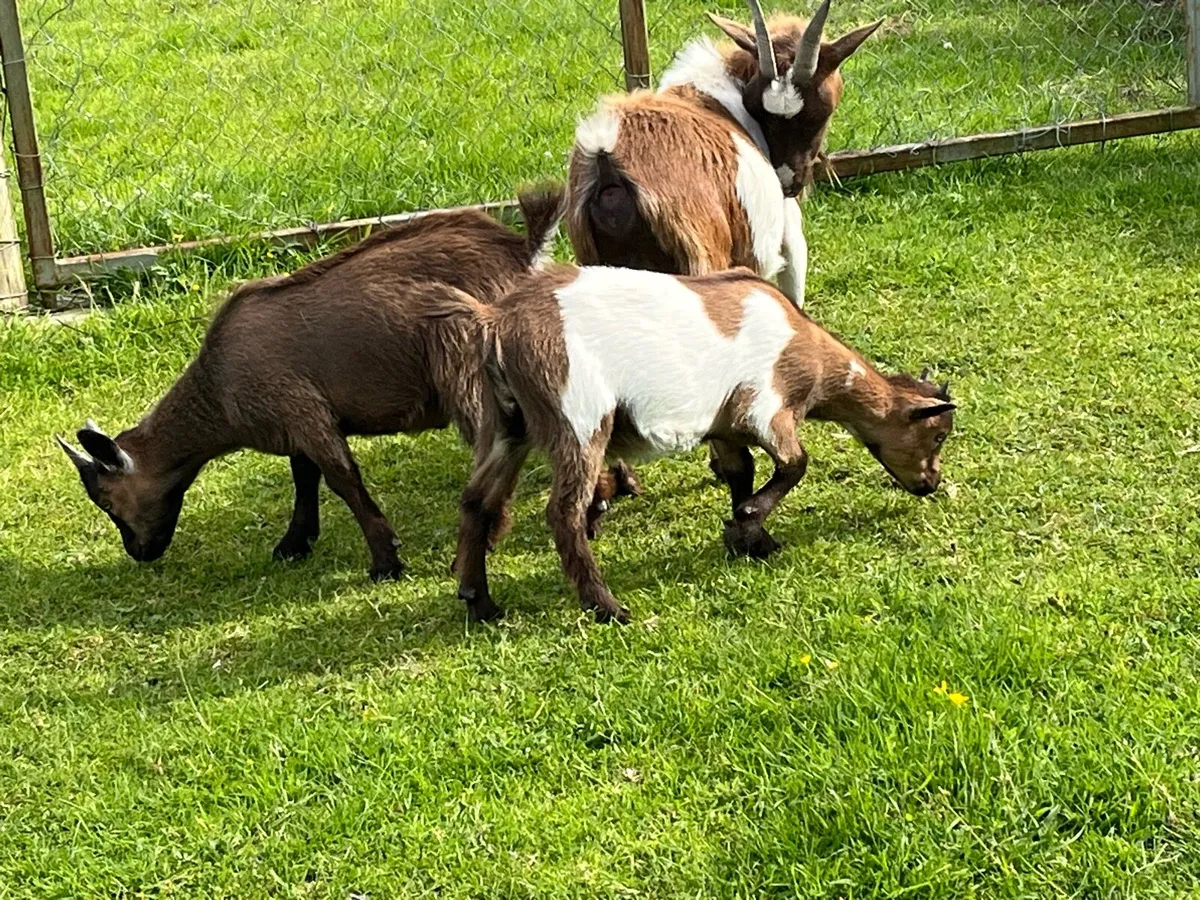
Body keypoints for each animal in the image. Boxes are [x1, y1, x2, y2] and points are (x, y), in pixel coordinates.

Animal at [56, 186, 639, 581]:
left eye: (108, 500)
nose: (140, 551)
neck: (218, 390)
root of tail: (524, 250)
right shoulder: (299, 417)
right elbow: (304, 477)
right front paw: (294, 543)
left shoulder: (303, 413)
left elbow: (342, 479)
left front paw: (385, 560)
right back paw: (613, 490)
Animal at [454, 265, 955, 623]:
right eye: (938, 434)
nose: (931, 483)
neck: (808, 351)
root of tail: (497, 322)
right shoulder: (767, 406)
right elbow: (795, 464)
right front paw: (748, 525)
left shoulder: (726, 427)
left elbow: (741, 472)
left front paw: (751, 540)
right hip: (578, 417)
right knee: (564, 513)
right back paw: (606, 607)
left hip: (507, 426)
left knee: (478, 501)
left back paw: (480, 603)